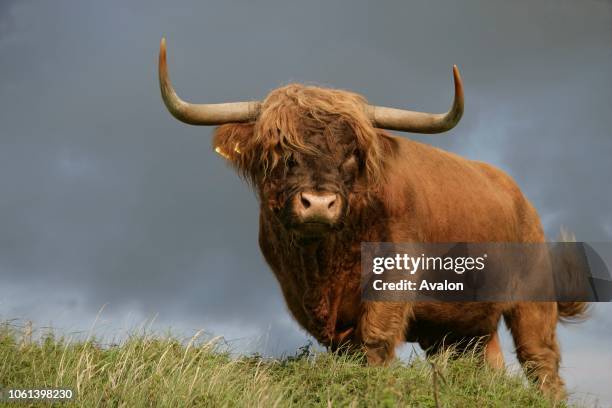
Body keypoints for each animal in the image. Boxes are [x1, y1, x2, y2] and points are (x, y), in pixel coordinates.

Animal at [158, 38, 588, 398]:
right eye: (281, 150)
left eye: (352, 153)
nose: (318, 203)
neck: (324, 264)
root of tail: (519, 198)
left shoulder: (393, 285)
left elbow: (376, 345)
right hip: (459, 326)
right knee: (483, 366)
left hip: (532, 305)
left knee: (541, 364)